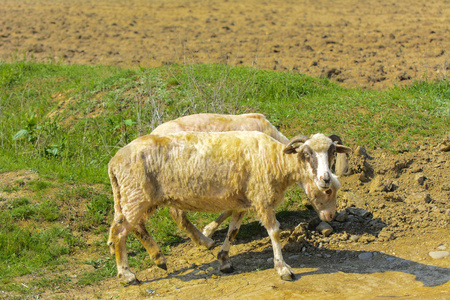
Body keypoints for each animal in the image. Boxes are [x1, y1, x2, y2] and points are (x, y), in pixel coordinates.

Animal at [106, 131, 352, 284]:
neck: (276, 161)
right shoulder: (262, 198)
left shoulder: (243, 201)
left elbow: (233, 231)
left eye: (332, 153)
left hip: (136, 196)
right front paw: (283, 269)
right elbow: (274, 232)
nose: (325, 179)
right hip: (136, 194)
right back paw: (127, 275)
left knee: (134, 226)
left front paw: (224, 260)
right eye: (308, 154)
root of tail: (113, 162)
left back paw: (159, 258)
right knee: (120, 232)